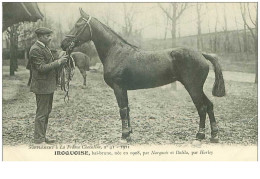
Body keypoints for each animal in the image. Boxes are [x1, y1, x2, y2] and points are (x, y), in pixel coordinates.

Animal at [61, 8, 225, 143]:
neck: (115, 52)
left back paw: (199, 135)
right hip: (197, 88)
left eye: (78, 25)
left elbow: (122, 110)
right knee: (209, 105)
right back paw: (214, 136)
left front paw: (124, 136)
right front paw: (129, 133)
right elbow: (127, 109)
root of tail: (201, 54)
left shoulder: (118, 88)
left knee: (202, 108)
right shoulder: (123, 89)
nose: (63, 44)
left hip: (193, 87)